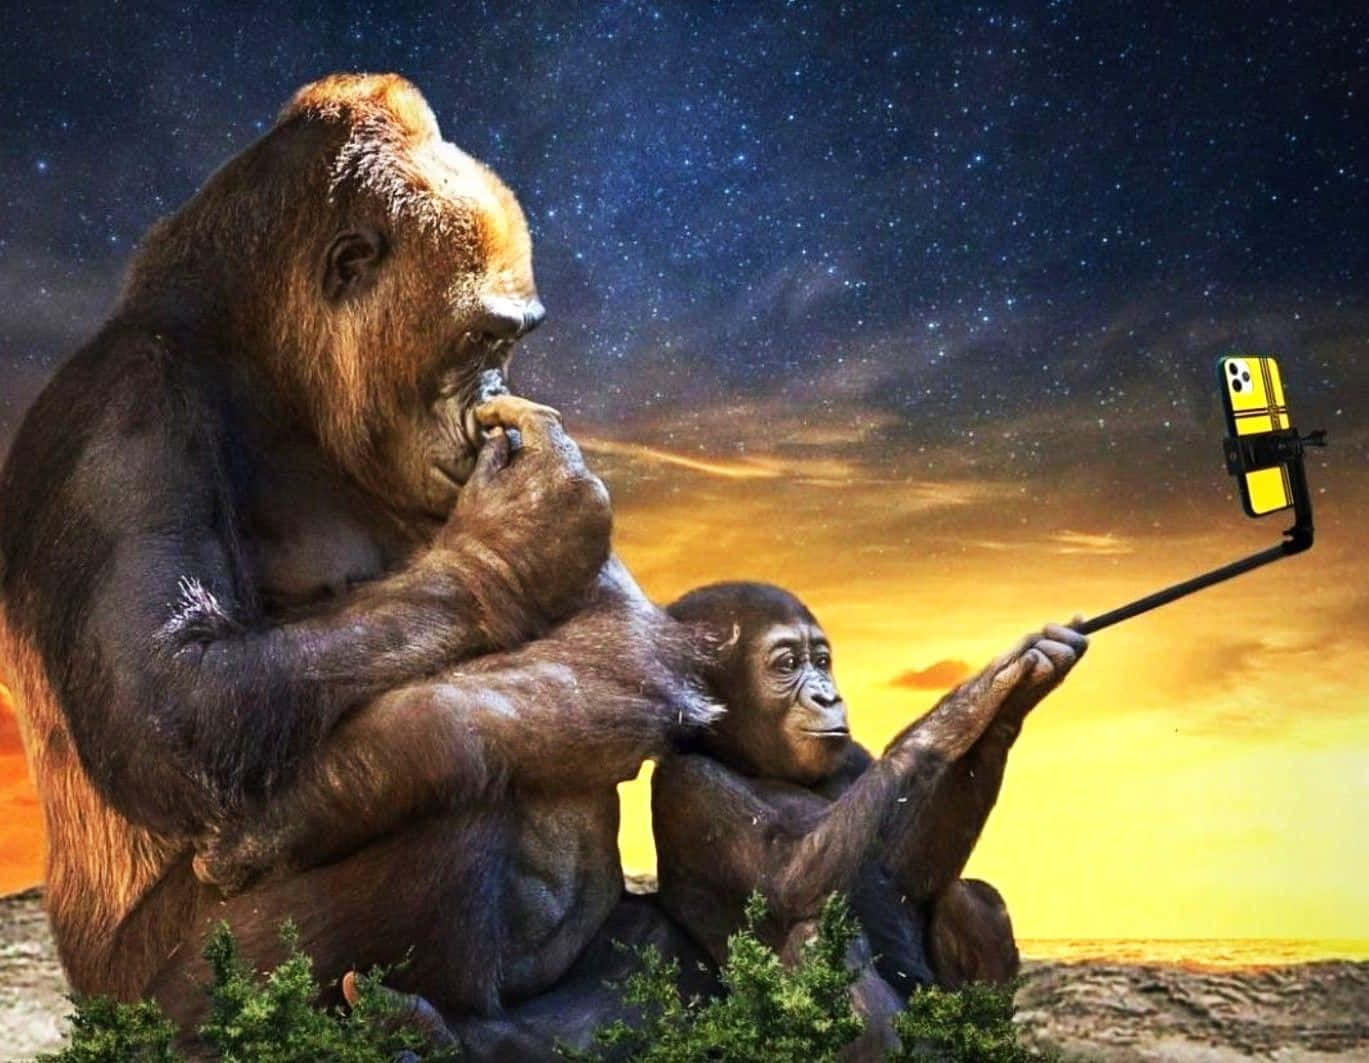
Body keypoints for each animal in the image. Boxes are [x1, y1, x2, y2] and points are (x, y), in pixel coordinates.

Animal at [0, 73, 715, 1055]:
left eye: (510, 348)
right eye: (483, 341)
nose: (497, 394)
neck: (262, 368)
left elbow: (622, 634)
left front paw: (314, 803)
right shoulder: (121, 419)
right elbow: (176, 703)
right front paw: (514, 540)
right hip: (139, 1010)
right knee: (454, 795)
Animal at [651, 582, 1087, 1054]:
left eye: (822, 662)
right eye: (788, 665)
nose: (827, 696)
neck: (744, 759)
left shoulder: (853, 756)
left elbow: (906, 873)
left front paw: (1015, 696)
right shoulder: (686, 787)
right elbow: (787, 877)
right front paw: (972, 700)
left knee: (970, 895)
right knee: (815, 929)